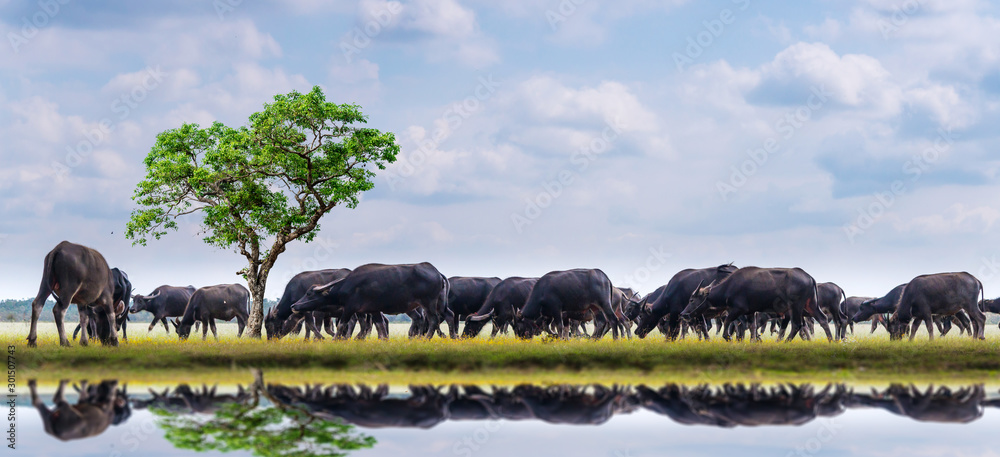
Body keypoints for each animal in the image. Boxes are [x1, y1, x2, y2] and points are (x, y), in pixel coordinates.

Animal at [288, 260, 448, 338]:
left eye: (309, 293)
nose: (294, 306)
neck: (351, 286)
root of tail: (436, 272)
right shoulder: (373, 310)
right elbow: (380, 327)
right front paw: (383, 340)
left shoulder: (349, 308)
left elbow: (341, 326)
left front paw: (336, 340)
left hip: (429, 303)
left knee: (433, 320)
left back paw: (425, 338)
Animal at [680, 266, 828, 340]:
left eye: (692, 300)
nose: (684, 313)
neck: (729, 288)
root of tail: (809, 277)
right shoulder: (751, 312)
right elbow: (752, 327)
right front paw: (752, 341)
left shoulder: (737, 310)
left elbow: (728, 322)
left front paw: (728, 337)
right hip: (811, 305)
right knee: (822, 319)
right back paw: (831, 340)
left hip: (795, 307)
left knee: (797, 325)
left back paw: (785, 342)